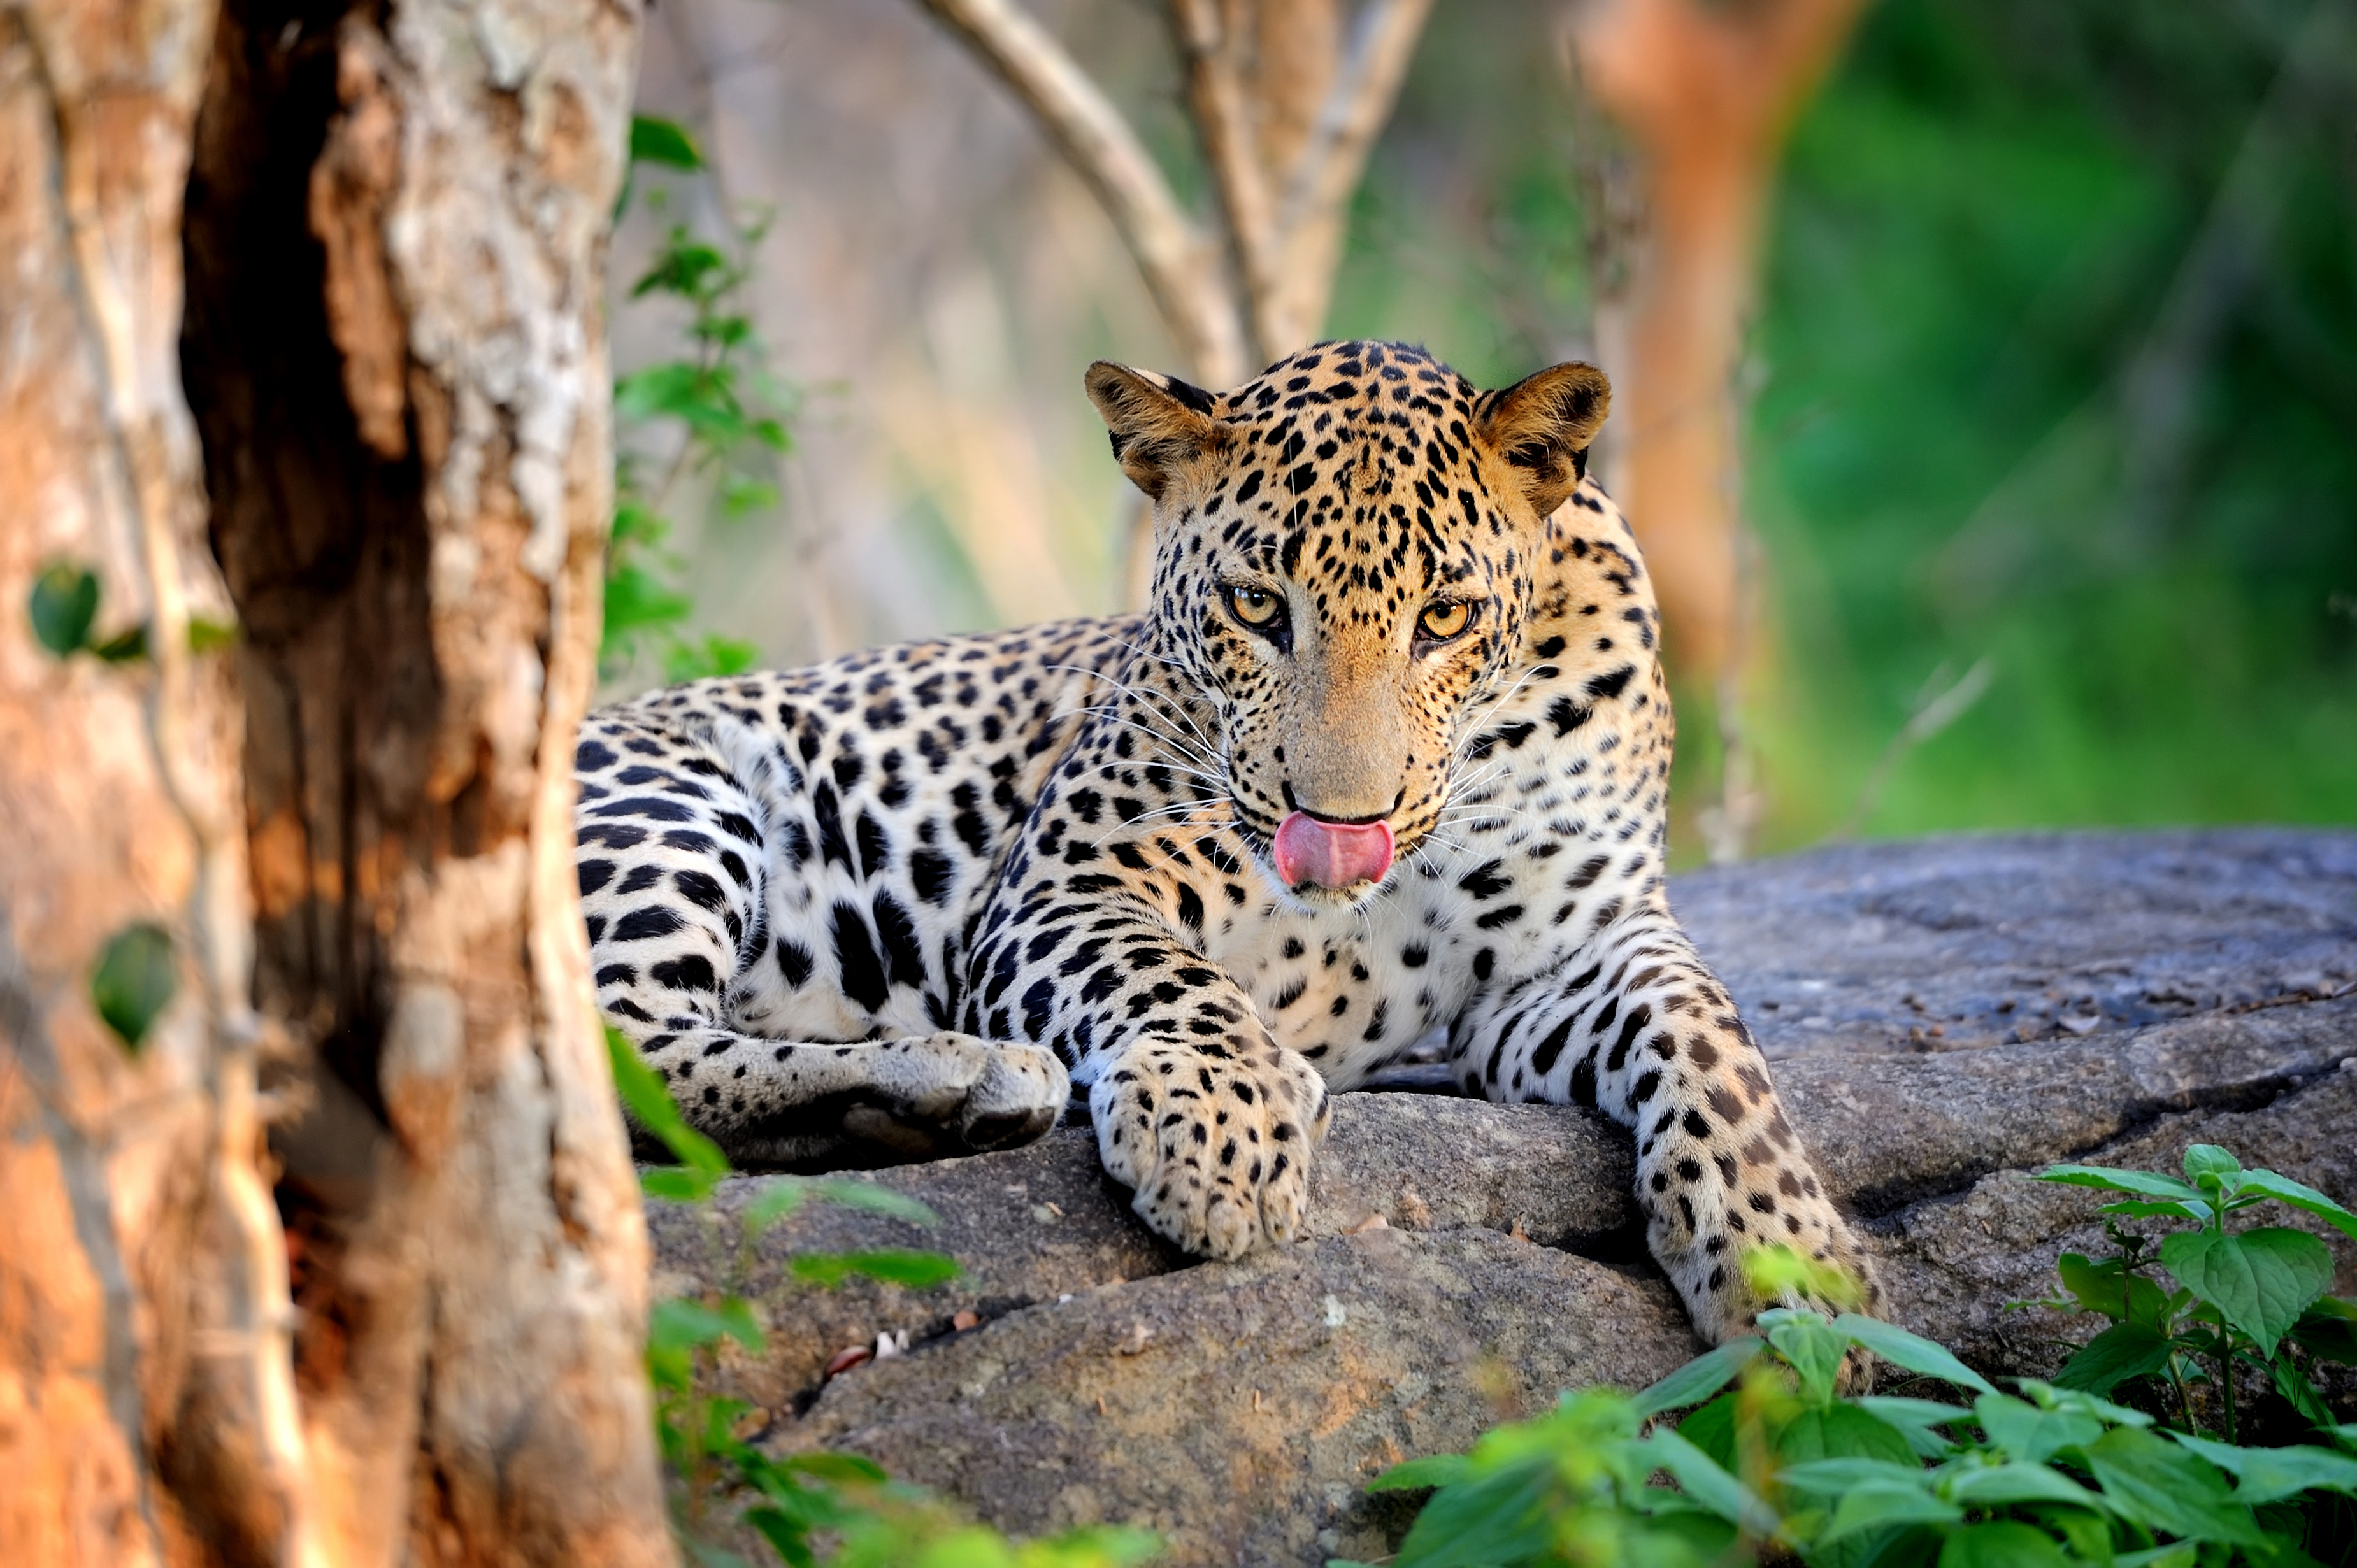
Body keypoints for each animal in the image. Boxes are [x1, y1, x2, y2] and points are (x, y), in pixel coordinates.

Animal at [580, 337, 1886, 1339]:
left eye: (1445, 618)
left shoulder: (1573, 949)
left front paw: (1793, 1260)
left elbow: (1712, 1035)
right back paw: (958, 1076)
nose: (1344, 828)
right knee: (622, 1051)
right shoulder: (1067, 885)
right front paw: (1225, 1130)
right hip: (674, 795)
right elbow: (1172, 975)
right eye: (1258, 607)